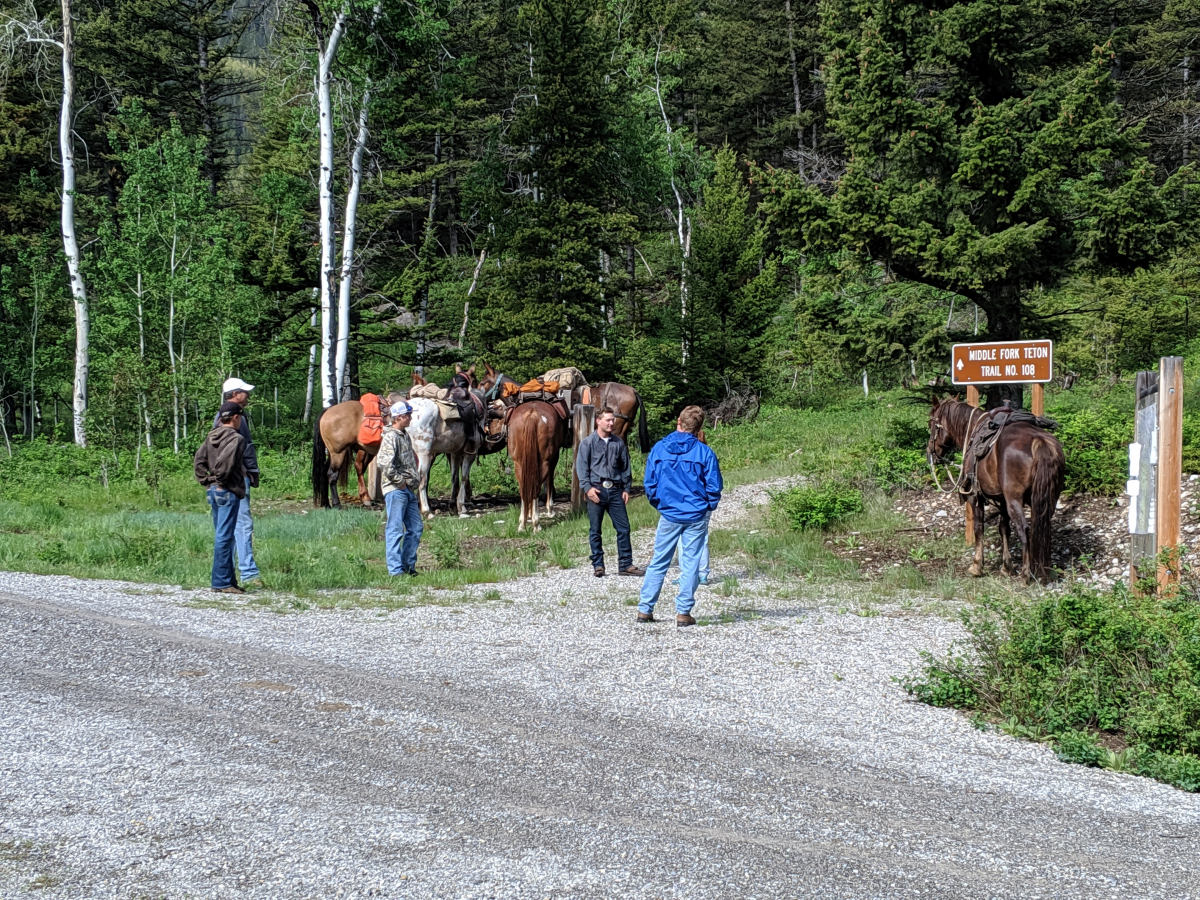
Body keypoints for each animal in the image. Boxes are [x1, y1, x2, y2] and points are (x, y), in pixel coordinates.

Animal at [921, 396, 1065, 585]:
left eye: (931, 423)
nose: (930, 452)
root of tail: (1039, 442)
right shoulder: (1002, 500)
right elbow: (1004, 528)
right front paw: (1006, 567)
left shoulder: (975, 497)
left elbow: (979, 528)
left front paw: (976, 566)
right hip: (1047, 499)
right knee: (1041, 528)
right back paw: (1043, 571)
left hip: (1014, 500)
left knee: (1024, 529)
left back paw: (1026, 574)